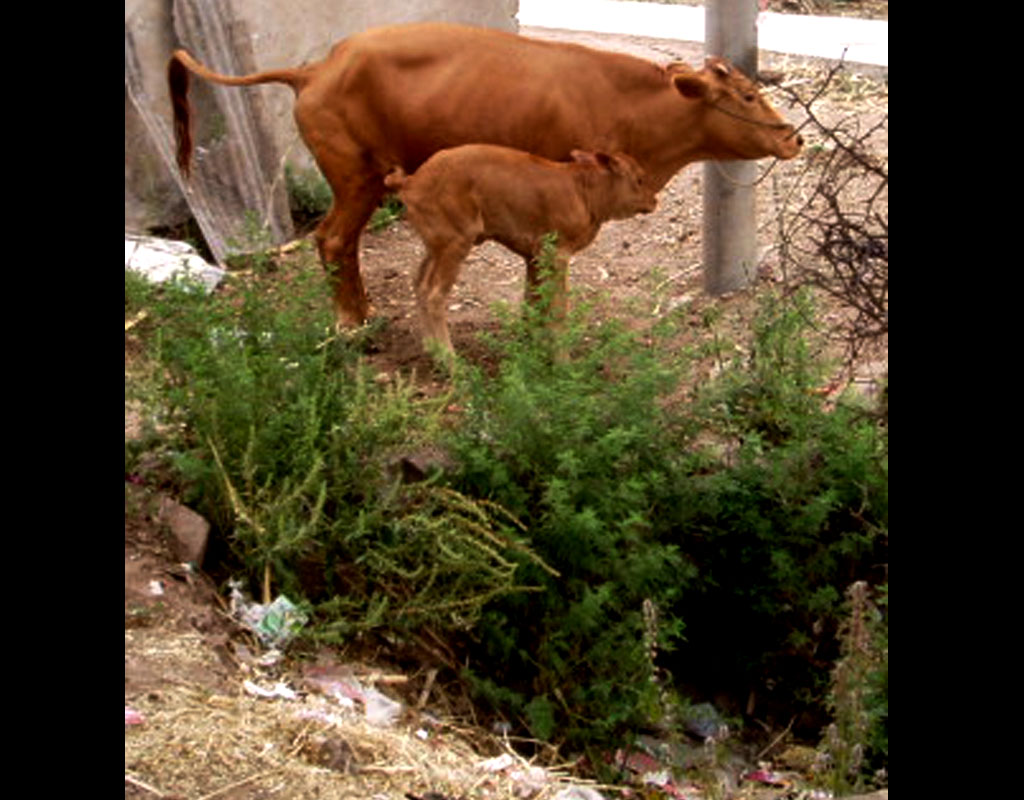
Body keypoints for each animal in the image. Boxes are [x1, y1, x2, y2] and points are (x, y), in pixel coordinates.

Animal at [382, 144, 655, 356]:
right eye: (639, 178)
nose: (654, 200)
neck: (583, 191)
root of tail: (412, 181)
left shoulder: (534, 255)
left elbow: (535, 299)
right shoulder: (556, 254)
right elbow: (558, 306)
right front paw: (561, 359)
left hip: (435, 247)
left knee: (419, 283)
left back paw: (432, 349)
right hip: (454, 244)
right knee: (434, 294)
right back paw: (450, 360)